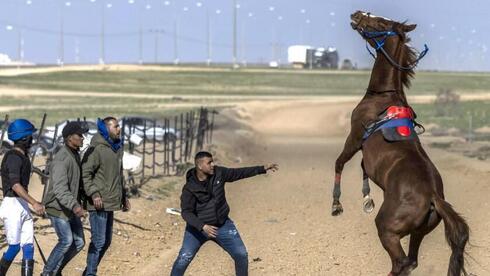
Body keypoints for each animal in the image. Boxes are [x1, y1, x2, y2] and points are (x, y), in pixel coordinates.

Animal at [332, 11, 468, 276]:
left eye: (380, 23)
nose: (357, 14)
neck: (383, 97)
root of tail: (433, 197)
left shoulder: (354, 137)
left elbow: (339, 163)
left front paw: (336, 204)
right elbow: (361, 170)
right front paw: (365, 198)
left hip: (388, 229)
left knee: (401, 263)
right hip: (418, 232)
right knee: (411, 261)